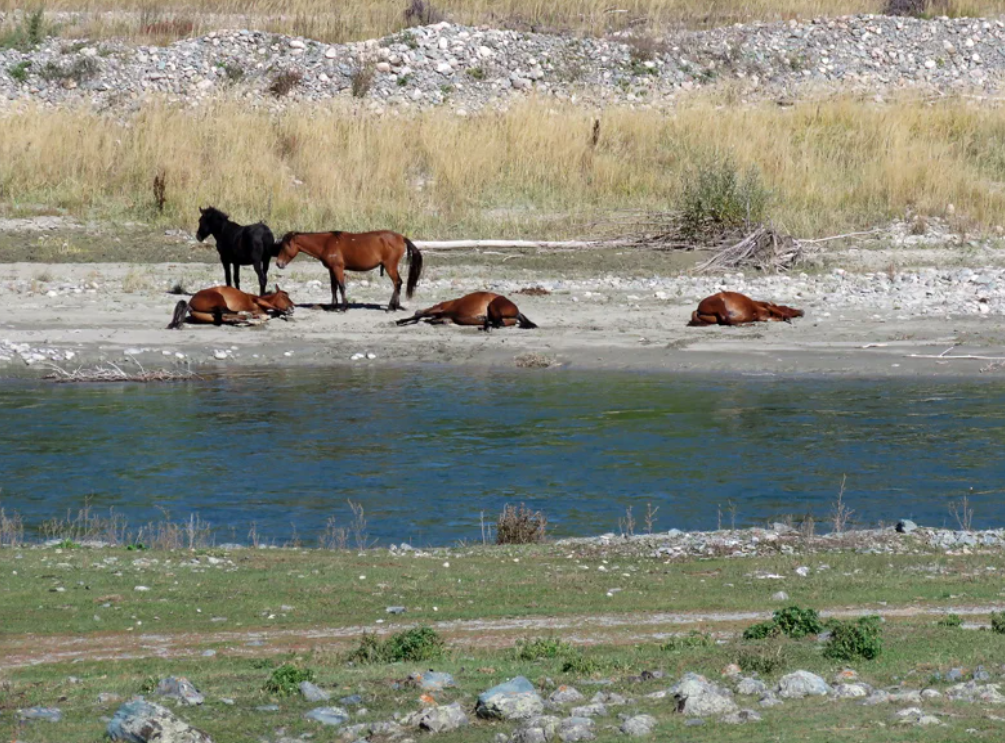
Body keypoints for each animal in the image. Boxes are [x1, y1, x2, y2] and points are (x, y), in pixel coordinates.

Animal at [273, 229, 422, 311]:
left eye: (284, 247)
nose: (278, 264)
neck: (326, 243)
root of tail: (401, 237)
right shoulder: (331, 269)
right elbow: (333, 287)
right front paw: (333, 306)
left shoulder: (338, 268)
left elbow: (341, 286)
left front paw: (344, 307)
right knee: (399, 283)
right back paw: (395, 305)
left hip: (390, 266)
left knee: (397, 283)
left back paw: (391, 307)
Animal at [395, 291, 538, 331]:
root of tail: (517, 311)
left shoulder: (441, 309)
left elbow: (420, 315)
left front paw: (400, 321)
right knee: (498, 323)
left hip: (493, 305)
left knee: (498, 323)